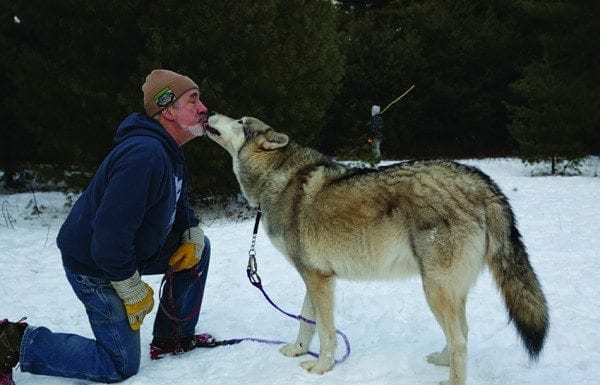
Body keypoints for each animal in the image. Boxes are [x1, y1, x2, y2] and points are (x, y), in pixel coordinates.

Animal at [206, 112, 548, 382]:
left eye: (240, 121)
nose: (209, 113)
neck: (276, 179)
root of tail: (483, 182)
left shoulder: (318, 279)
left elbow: (327, 333)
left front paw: (321, 369)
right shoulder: (315, 276)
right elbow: (306, 322)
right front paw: (297, 350)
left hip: (435, 289)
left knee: (461, 341)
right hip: (448, 290)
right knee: (463, 332)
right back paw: (441, 360)